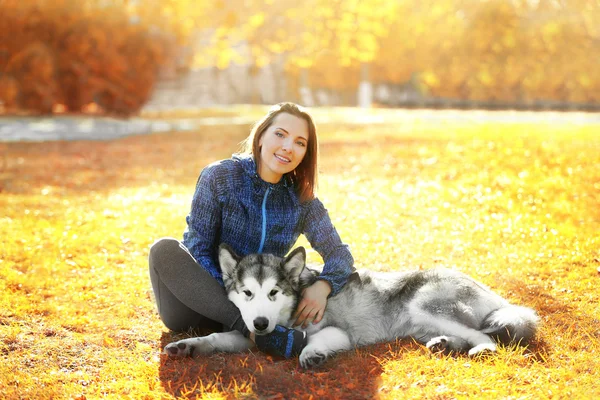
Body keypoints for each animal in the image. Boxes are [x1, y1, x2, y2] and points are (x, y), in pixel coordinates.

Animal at [164, 242, 540, 368]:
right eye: (247, 293)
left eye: (273, 292)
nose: (259, 324)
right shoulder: (246, 334)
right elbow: (214, 339)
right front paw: (186, 346)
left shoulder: (337, 330)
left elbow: (317, 338)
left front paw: (311, 353)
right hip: (423, 323)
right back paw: (445, 344)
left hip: (423, 305)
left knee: (485, 336)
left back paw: (480, 349)